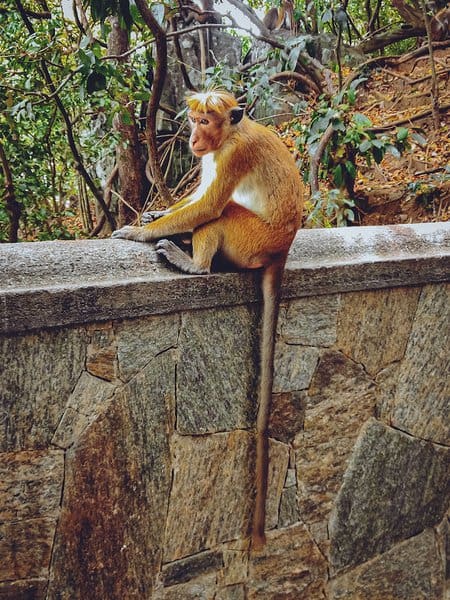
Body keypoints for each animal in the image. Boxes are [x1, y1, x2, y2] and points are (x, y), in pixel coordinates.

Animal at [110, 89, 304, 548]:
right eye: (193, 119)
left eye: (206, 120)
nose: (193, 138)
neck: (230, 135)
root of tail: (282, 250)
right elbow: (198, 195)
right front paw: (155, 215)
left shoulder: (233, 157)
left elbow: (210, 204)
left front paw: (140, 231)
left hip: (252, 241)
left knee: (224, 212)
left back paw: (194, 263)